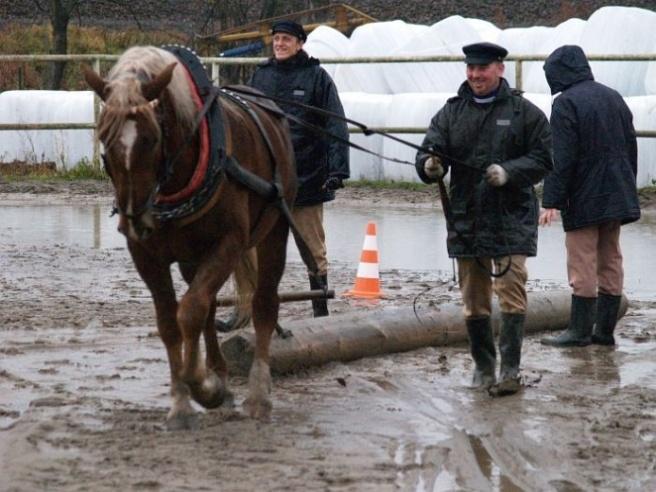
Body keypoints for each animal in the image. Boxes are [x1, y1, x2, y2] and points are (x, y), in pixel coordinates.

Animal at [83, 47, 296, 430]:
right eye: (104, 139)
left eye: (151, 138)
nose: (135, 219)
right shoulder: (146, 255)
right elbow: (171, 322)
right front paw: (183, 400)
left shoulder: (228, 243)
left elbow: (190, 312)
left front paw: (201, 386)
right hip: (190, 258)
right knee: (209, 306)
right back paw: (219, 373)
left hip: (273, 231)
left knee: (263, 306)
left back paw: (257, 394)